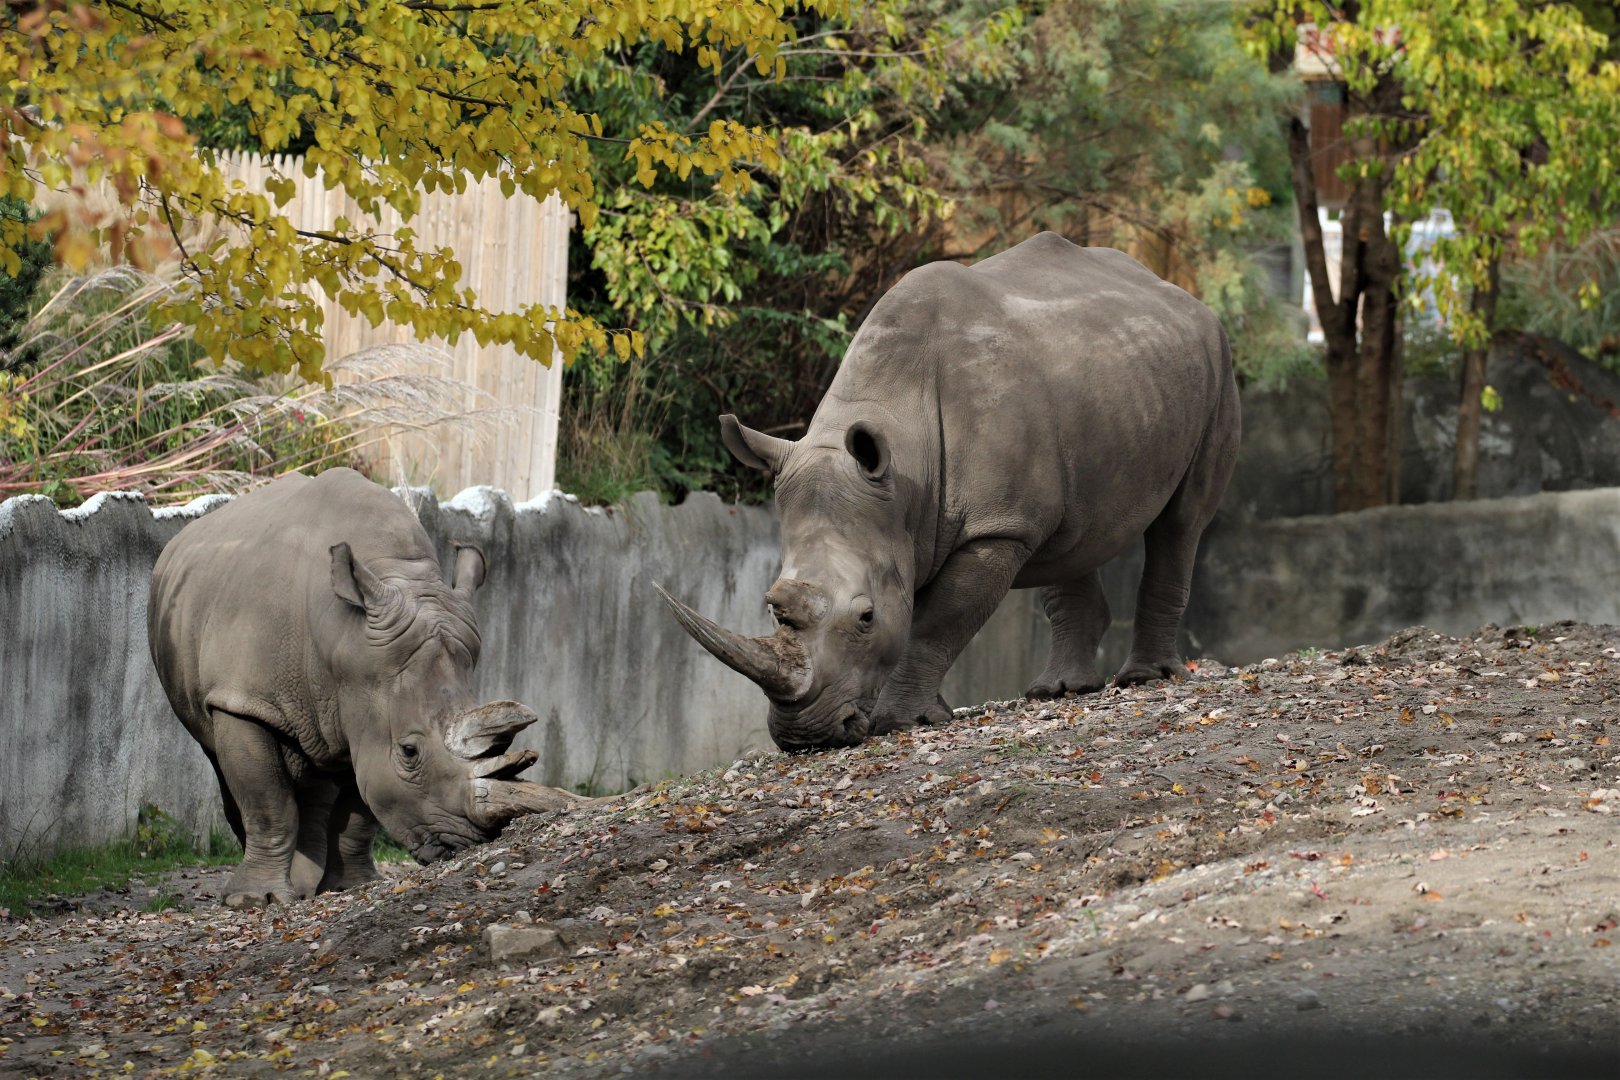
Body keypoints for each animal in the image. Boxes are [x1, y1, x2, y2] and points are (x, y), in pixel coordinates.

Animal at [149, 468, 578, 907]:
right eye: (409, 752)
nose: (468, 843)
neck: (341, 634)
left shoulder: (368, 702)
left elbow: (359, 809)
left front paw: (349, 887)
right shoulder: (243, 698)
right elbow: (268, 801)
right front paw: (256, 901)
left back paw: (305, 886)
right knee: (226, 764)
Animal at [659, 232, 1240, 751]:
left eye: (866, 618)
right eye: (772, 606)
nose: (806, 736)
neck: (902, 461)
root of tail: (1180, 293)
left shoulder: (994, 528)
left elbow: (936, 621)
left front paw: (901, 722)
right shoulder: (905, 521)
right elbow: (923, 612)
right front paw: (929, 714)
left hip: (1216, 360)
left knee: (1181, 521)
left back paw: (1146, 678)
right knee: (1072, 533)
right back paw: (1058, 692)